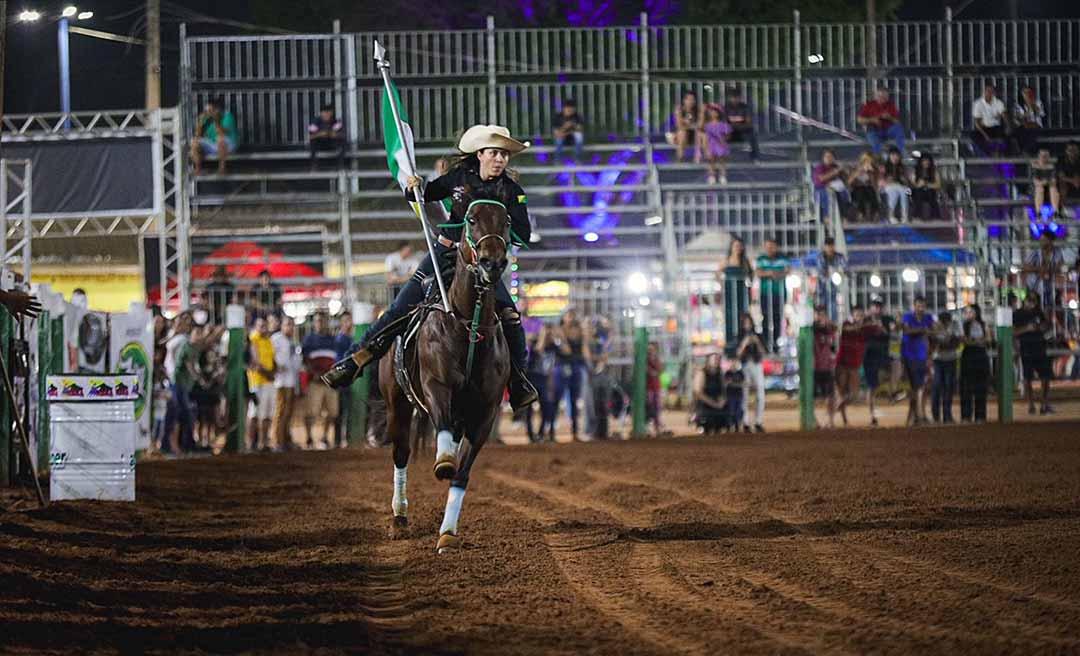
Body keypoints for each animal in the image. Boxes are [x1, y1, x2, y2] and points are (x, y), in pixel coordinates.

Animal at [378, 197, 511, 551]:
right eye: (472, 220)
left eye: (506, 220)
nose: (492, 262)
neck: (468, 325)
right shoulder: (436, 387)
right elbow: (443, 432)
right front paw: (444, 461)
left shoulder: (485, 413)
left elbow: (462, 473)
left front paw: (448, 532)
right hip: (397, 403)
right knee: (401, 453)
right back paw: (399, 518)